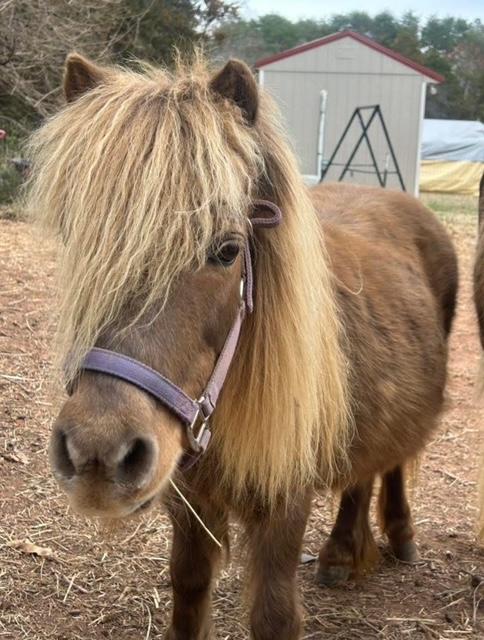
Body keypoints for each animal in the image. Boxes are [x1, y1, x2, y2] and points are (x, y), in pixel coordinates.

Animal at [26, 53, 458, 639]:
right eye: (79, 242)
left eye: (228, 250)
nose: (97, 454)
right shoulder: (188, 501)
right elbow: (188, 587)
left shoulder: (283, 505)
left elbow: (273, 614)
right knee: (361, 473)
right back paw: (340, 555)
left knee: (392, 463)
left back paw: (398, 535)